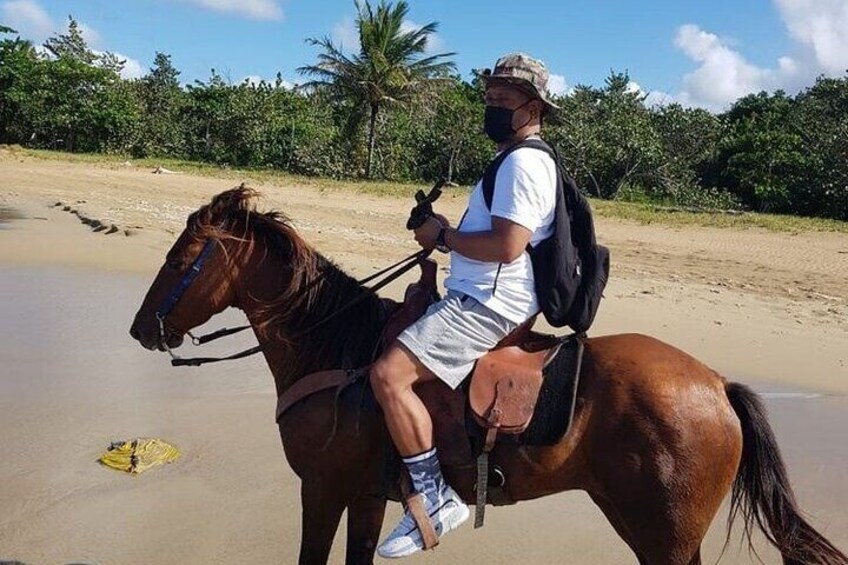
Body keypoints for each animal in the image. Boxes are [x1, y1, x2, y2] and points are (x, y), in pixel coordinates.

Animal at [129, 188, 844, 564]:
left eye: (179, 259)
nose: (139, 330)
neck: (334, 349)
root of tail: (719, 385)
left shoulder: (323, 489)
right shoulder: (363, 494)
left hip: (662, 535)